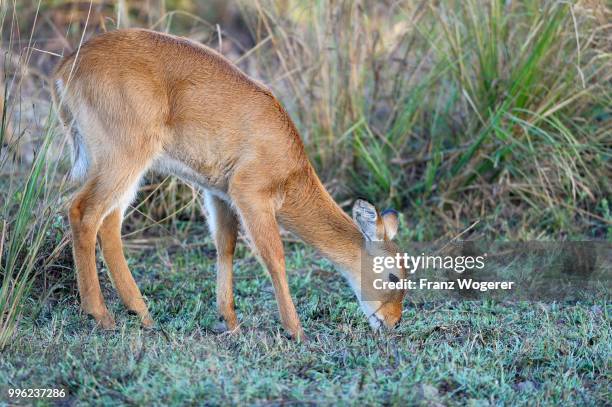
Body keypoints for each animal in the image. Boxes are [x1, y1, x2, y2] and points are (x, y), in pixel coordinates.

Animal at [52, 29, 406, 342]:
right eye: (393, 274)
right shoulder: (250, 195)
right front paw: (296, 331)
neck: (291, 169)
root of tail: (68, 65)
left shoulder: (218, 194)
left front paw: (230, 322)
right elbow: (274, 257)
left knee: (109, 223)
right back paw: (101, 314)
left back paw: (143, 315)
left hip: (124, 167)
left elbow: (226, 246)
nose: (393, 322)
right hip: (125, 158)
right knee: (82, 212)